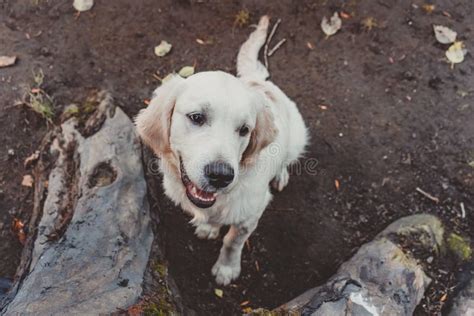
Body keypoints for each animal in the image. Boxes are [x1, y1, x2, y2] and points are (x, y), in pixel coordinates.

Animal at [135, 16, 310, 286]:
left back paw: (280, 175)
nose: (220, 176)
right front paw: (209, 228)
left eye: (245, 129)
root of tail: (260, 82)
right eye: (197, 117)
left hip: (298, 137)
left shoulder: (251, 214)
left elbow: (233, 241)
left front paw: (227, 268)